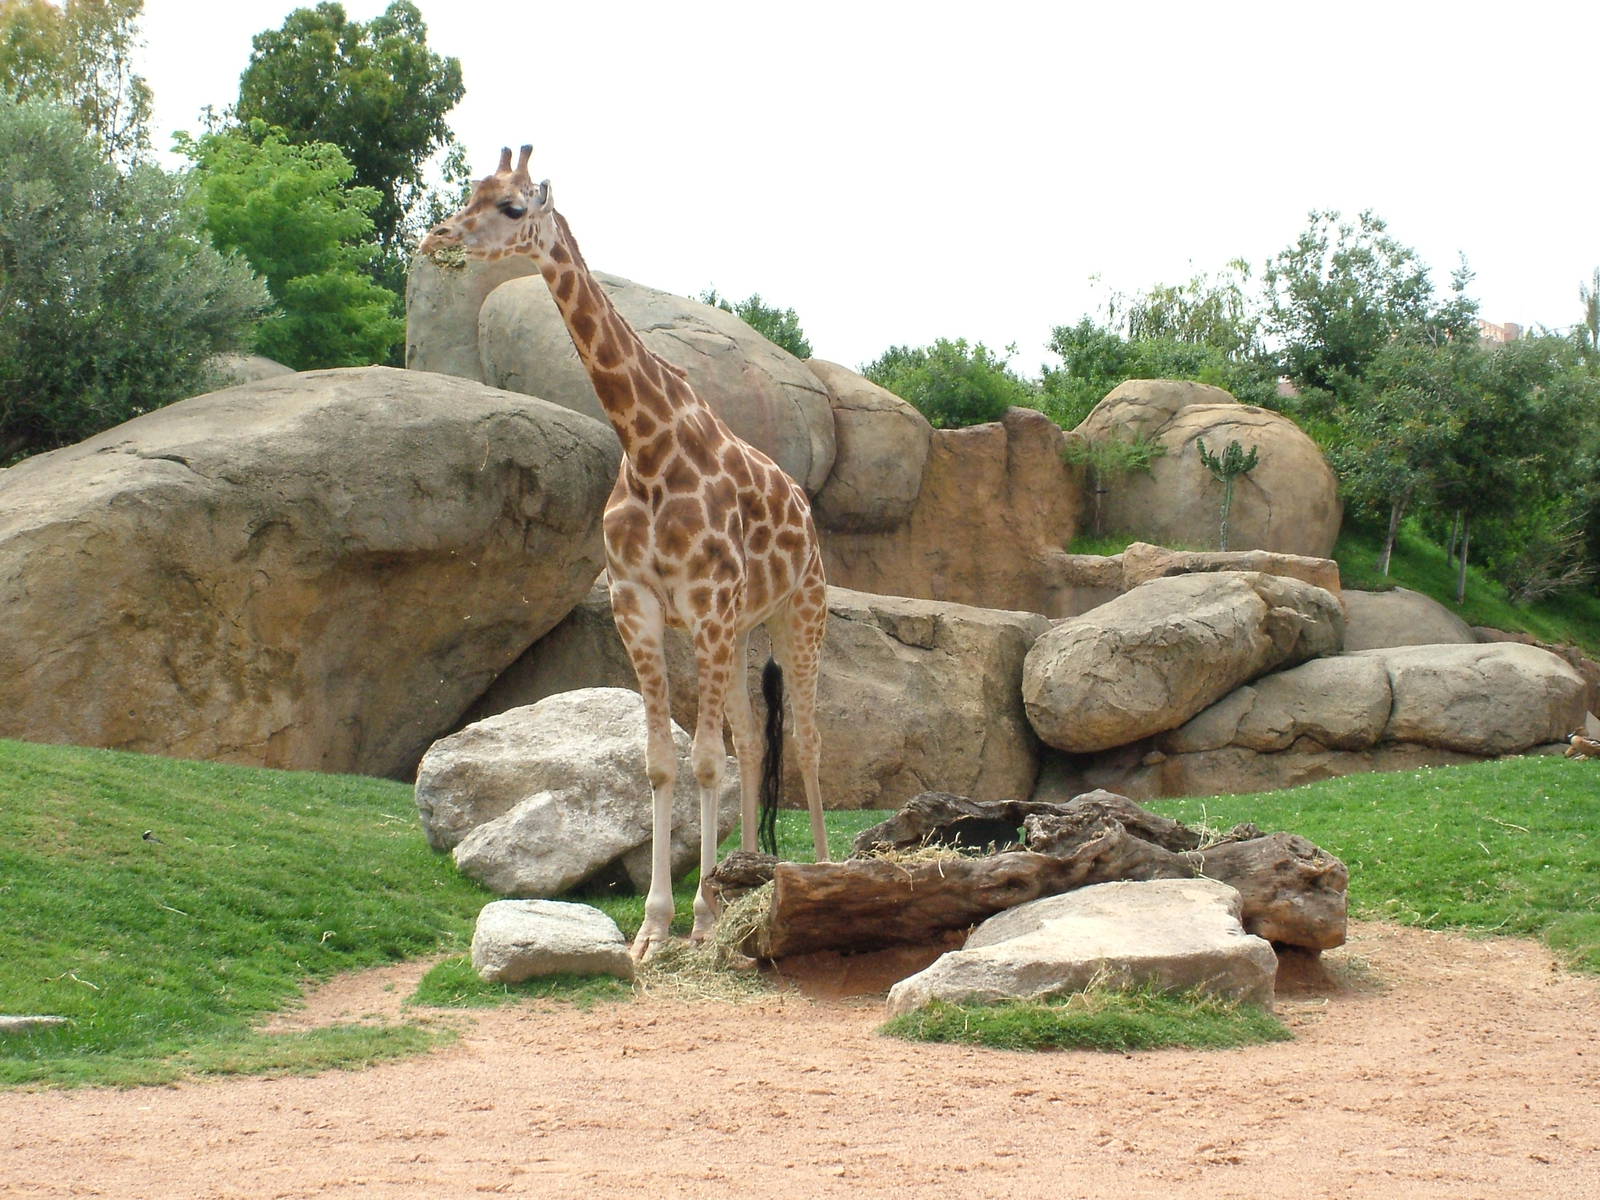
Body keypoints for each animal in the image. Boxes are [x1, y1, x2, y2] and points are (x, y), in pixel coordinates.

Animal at [421, 146, 830, 959]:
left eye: (514, 206)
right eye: (470, 190)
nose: (439, 240)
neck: (648, 447)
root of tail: (807, 510)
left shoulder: (704, 608)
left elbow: (704, 762)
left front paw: (700, 919)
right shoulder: (638, 606)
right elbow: (664, 764)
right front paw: (657, 925)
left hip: (801, 611)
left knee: (807, 740)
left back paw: (826, 873)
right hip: (744, 629)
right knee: (755, 745)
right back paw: (752, 872)